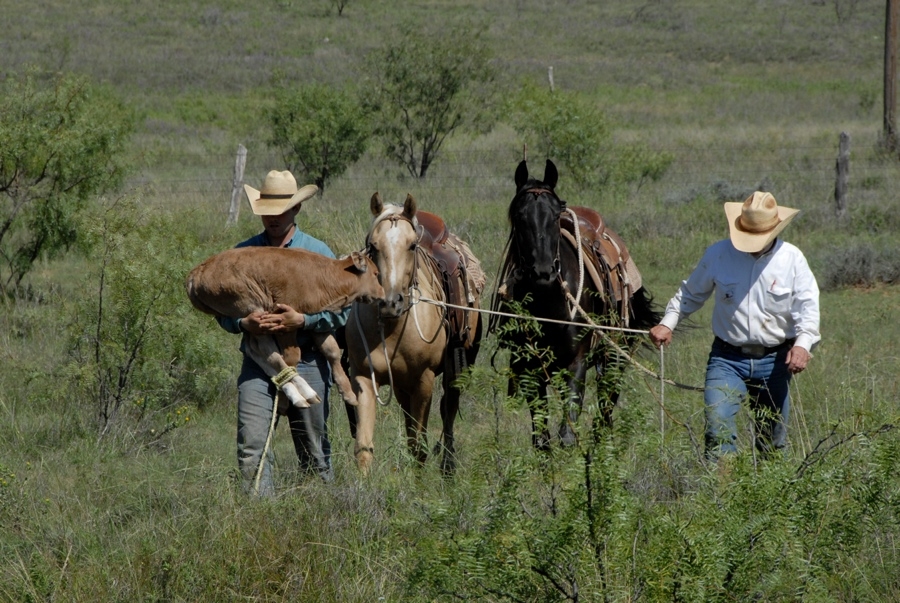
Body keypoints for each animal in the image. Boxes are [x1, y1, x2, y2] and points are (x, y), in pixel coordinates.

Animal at [346, 193, 486, 476]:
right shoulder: (363, 377)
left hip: (460, 365)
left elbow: (418, 446)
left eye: (412, 246)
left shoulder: (424, 380)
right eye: (373, 246)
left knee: (449, 410)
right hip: (403, 385)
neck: (392, 327)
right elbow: (364, 447)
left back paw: (448, 468)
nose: (390, 302)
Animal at [492, 159, 660, 448]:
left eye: (554, 216)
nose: (543, 272)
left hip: (614, 359)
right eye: (520, 216)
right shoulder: (529, 369)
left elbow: (567, 435)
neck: (548, 305)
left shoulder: (577, 362)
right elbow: (542, 438)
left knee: (605, 413)